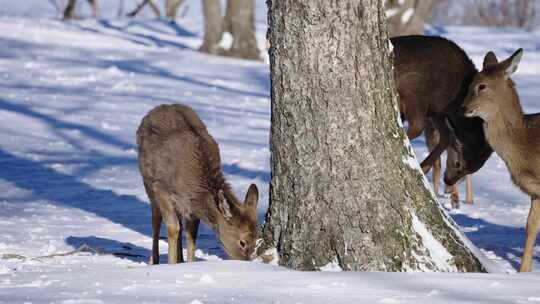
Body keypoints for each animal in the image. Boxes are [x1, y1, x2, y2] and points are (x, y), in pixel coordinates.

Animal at [460, 48, 540, 272]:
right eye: (468, 84)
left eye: (481, 86)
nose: (462, 108)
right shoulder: (535, 191)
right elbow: (530, 226)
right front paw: (523, 271)